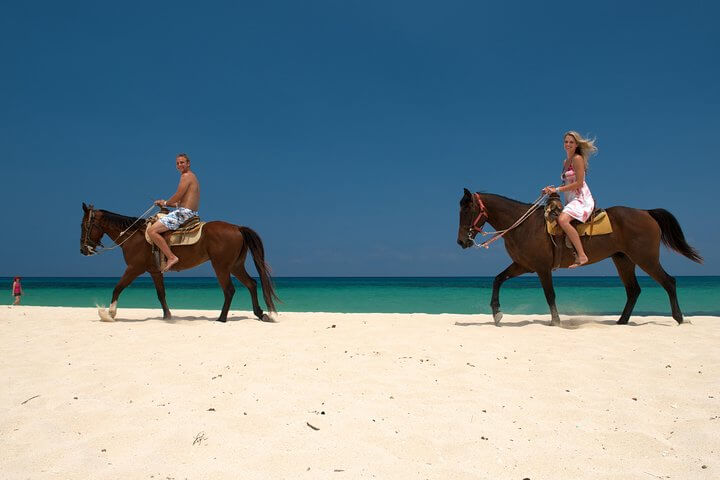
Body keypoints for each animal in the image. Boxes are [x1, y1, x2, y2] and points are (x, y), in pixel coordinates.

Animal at [81, 202, 278, 322]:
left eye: (84, 226)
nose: (83, 250)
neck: (134, 236)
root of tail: (237, 228)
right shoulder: (155, 272)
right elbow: (161, 294)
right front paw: (168, 316)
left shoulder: (133, 269)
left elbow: (118, 287)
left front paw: (109, 313)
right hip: (235, 266)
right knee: (251, 284)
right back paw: (260, 313)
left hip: (221, 266)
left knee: (229, 290)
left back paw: (222, 318)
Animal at [456, 190, 704, 326]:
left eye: (466, 210)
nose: (461, 241)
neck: (522, 224)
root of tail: (646, 212)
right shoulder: (522, 265)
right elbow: (497, 279)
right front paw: (496, 313)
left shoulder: (541, 268)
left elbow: (549, 295)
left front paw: (556, 322)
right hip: (623, 260)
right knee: (633, 290)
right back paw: (622, 321)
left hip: (646, 259)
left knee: (668, 282)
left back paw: (679, 318)